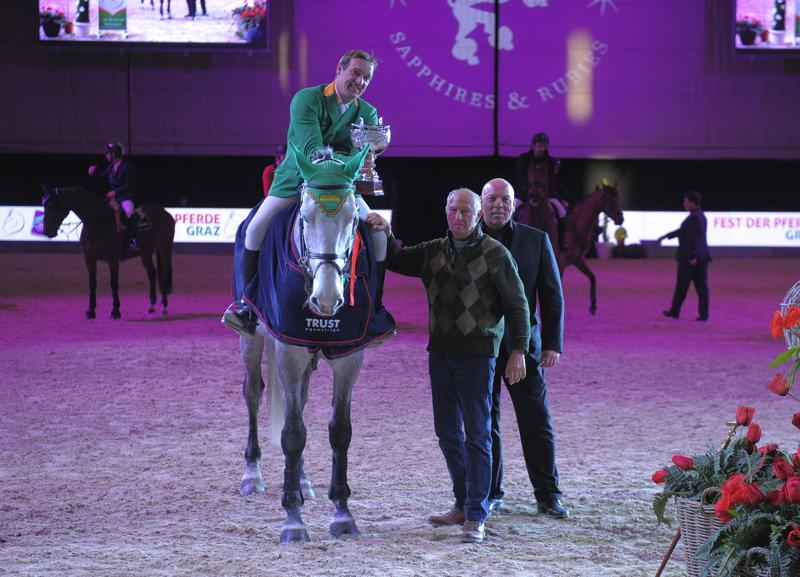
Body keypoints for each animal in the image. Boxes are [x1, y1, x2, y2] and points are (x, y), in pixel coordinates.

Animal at [520, 183, 624, 316]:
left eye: (619, 199)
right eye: (610, 199)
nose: (621, 219)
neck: (576, 227)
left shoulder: (577, 260)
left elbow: (592, 278)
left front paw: (593, 307)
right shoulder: (560, 263)